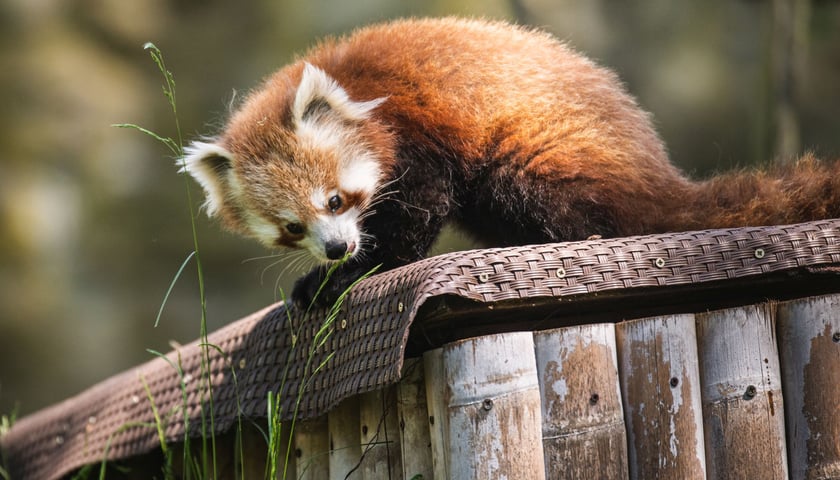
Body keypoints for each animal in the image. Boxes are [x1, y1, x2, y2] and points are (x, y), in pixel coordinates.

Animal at [182, 16, 840, 306]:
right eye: (293, 228)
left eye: (337, 200)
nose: (338, 247)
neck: (355, 87)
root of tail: (659, 175)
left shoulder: (419, 134)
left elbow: (412, 220)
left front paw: (345, 277)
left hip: (541, 161)